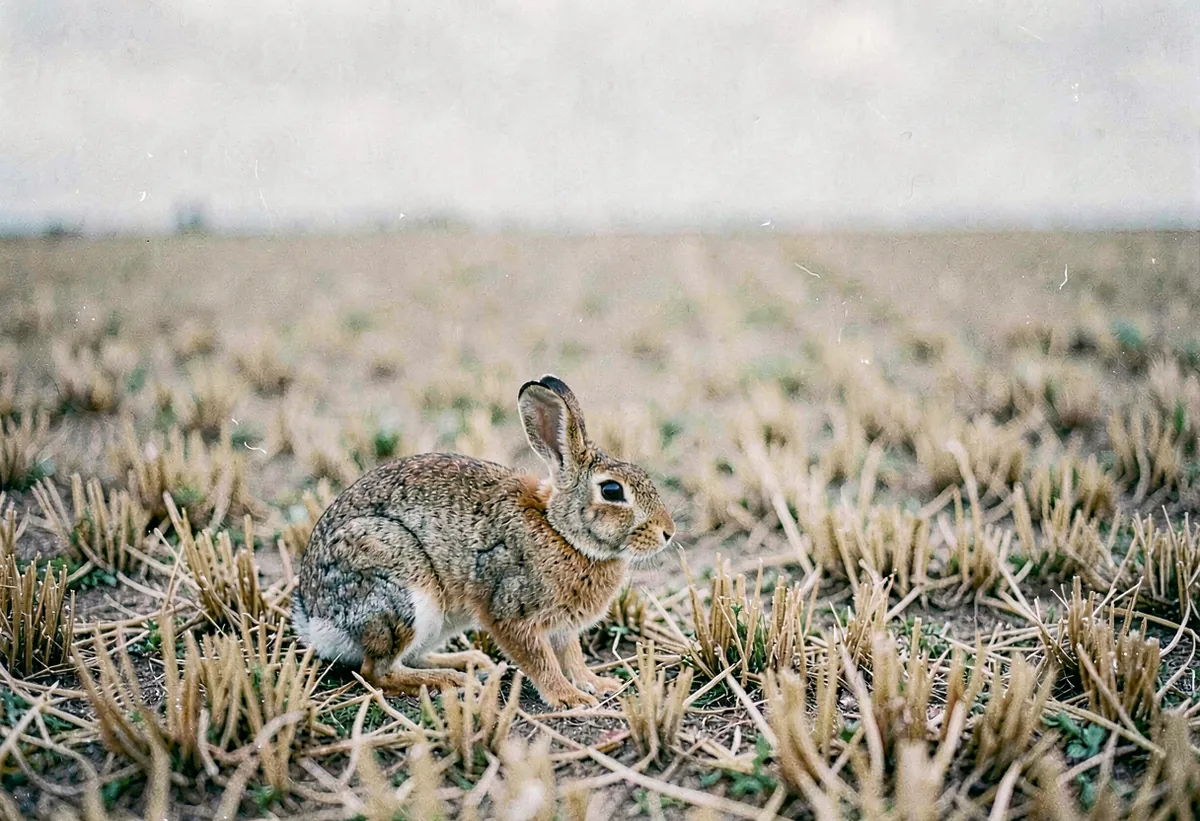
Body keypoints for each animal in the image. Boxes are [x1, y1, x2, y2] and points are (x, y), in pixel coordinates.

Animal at [292, 375, 676, 708]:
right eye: (612, 491)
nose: (668, 531)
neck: (560, 532)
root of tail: (314, 619)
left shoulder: (563, 629)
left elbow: (573, 657)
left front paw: (597, 684)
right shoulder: (511, 612)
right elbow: (542, 662)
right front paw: (569, 698)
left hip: (434, 621)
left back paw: (471, 662)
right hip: (405, 594)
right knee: (377, 671)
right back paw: (451, 680)